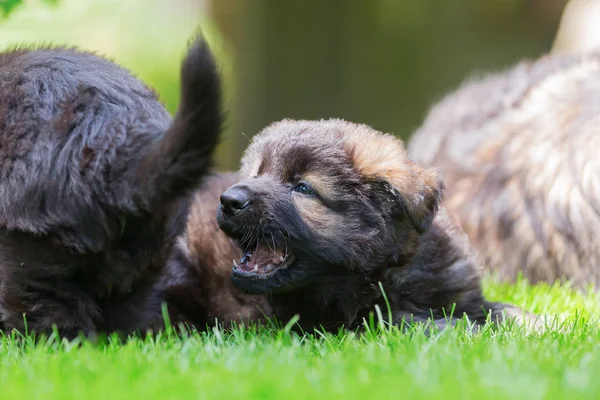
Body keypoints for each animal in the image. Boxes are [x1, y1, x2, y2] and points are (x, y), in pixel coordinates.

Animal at [165, 119, 536, 334]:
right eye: (257, 174)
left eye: (303, 188)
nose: (230, 200)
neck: (388, 270)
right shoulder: (337, 322)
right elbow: (409, 321)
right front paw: (465, 329)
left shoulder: (462, 293)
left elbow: (505, 311)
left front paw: (536, 324)